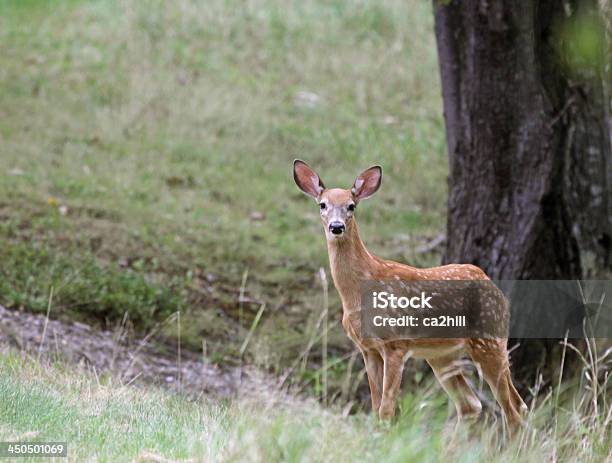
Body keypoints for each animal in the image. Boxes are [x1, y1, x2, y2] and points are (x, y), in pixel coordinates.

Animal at [292, 161, 524, 434]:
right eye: (322, 204)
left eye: (351, 205)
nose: (336, 227)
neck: (356, 294)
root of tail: (497, 291)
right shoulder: (367, 349)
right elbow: (375, 407)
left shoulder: (396, 343)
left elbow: (386, 409)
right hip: (442, 355)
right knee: (472, 405)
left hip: (489, 339)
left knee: (514, 409)